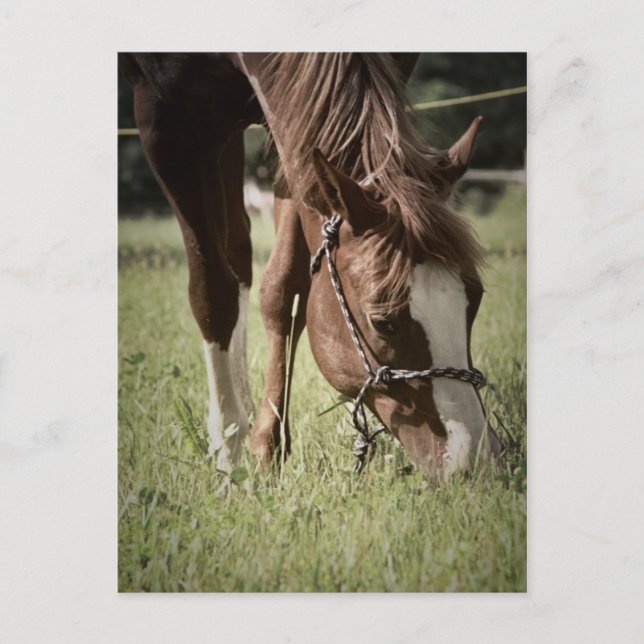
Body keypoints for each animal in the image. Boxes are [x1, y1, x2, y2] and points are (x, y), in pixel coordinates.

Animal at [118, 52, 501, 478]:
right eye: (383, 322)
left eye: (475, 300)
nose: (472, 459)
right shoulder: (167, 120)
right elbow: (212, 293)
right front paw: (230, 450)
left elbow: (285, 290)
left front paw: (266, 443)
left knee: (239, 250)